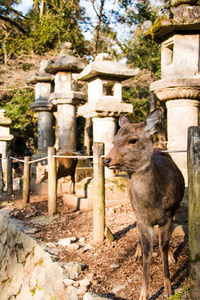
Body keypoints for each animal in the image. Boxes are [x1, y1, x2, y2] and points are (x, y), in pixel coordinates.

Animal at [103, 109, 184, 300]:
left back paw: (171, 256)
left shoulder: (168, 216)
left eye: (132, 140)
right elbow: (148, 250)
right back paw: (137, 253)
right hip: (133, 208)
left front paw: (168, 289)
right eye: (114, 140)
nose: (106, 160)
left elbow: (163, 246)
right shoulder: (142, 218)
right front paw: (143, 293)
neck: (153, 204)